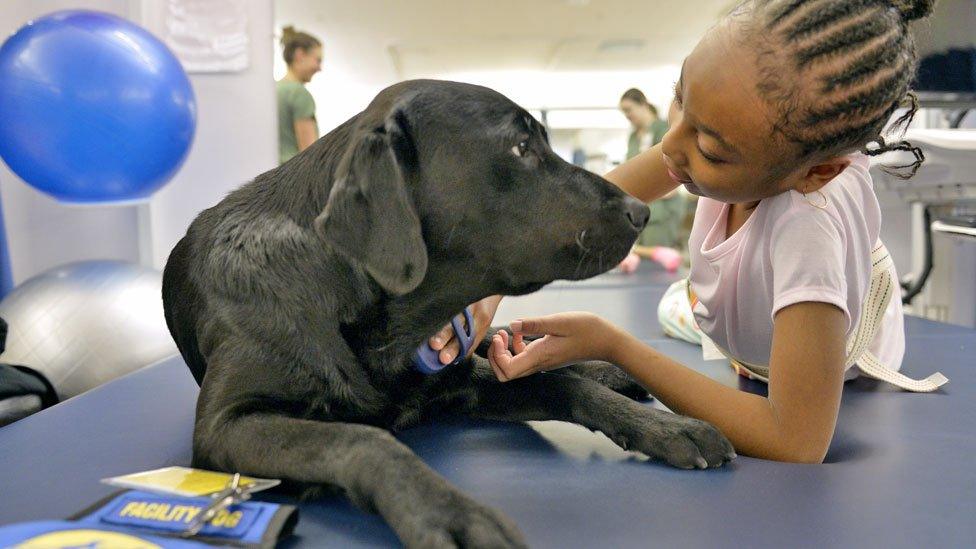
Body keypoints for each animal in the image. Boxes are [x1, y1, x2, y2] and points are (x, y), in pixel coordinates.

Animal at [164, 79, 732, 544]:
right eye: (521, 146)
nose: (642, 211)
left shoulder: (460, 378)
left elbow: (566, 385)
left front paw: (665, 427)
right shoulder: (225, 424)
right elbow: (364, 439)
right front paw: (448, 513)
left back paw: (603, 367)